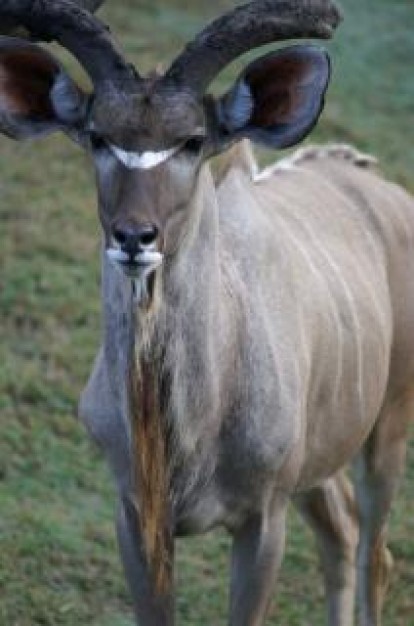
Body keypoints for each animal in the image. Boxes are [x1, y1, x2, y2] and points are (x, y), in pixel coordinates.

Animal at [0, 1, 412, 624]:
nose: (134, 237)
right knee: (340, 532)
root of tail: (375, 181)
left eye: (193, 141)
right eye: (98, 137)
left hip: (387, 429)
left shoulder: (264, 517)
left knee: (374, 552)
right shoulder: (136, 517)